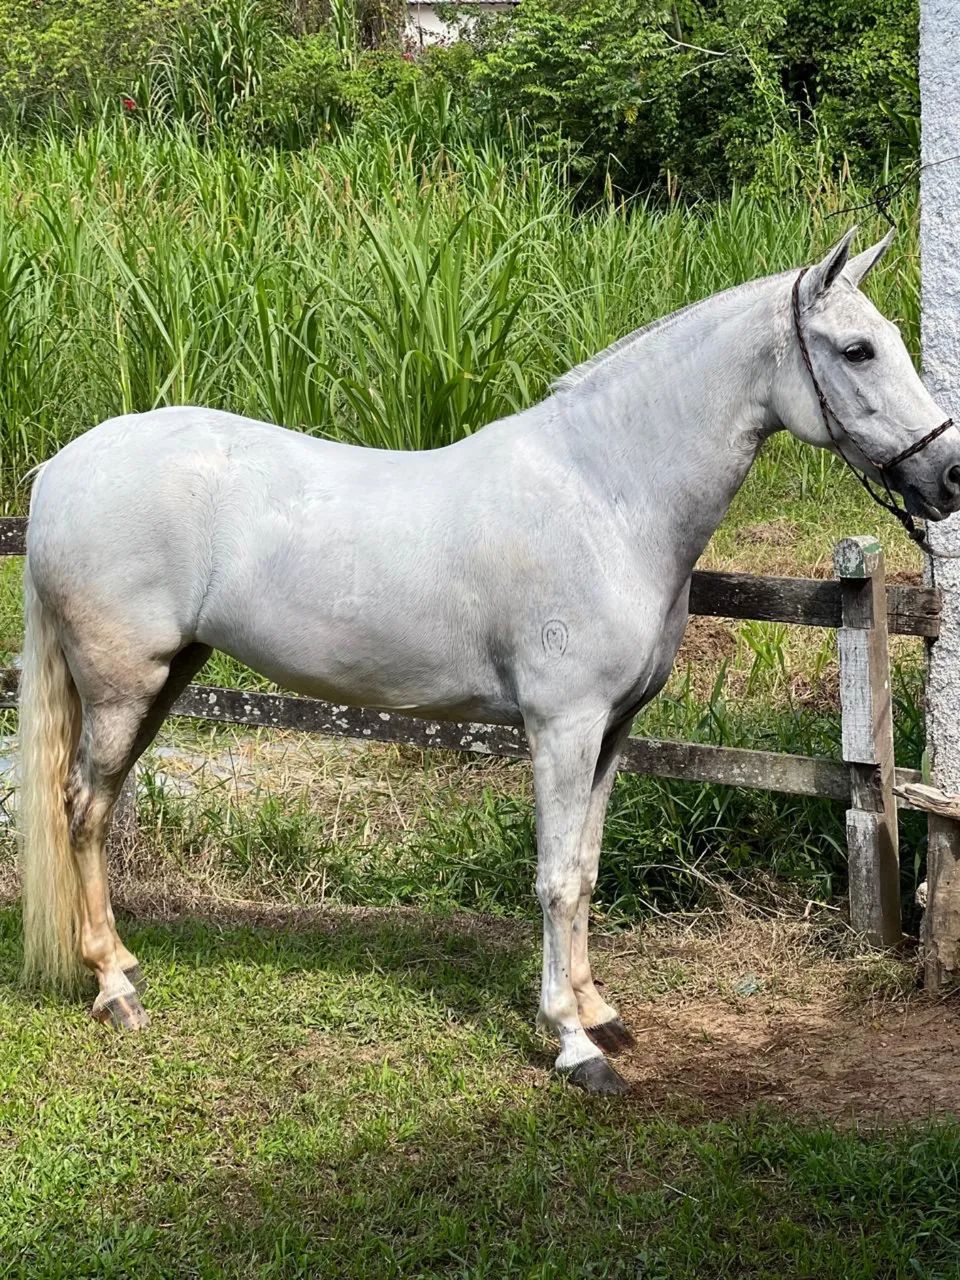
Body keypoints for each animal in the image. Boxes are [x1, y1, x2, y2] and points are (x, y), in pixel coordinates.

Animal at [17, 227, 960, 1094]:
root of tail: (65, 467)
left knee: (95, 807)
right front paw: (572, 1045)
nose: (949, 476)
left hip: (165, 679)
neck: (606, 496)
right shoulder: (561, 728)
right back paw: (113, 989)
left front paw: (599, 1011)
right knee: (83, 810)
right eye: (858, 349)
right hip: (123, 686)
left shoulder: (612, 731)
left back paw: (124, 967)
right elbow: (553, 879)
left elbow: (586, 868)